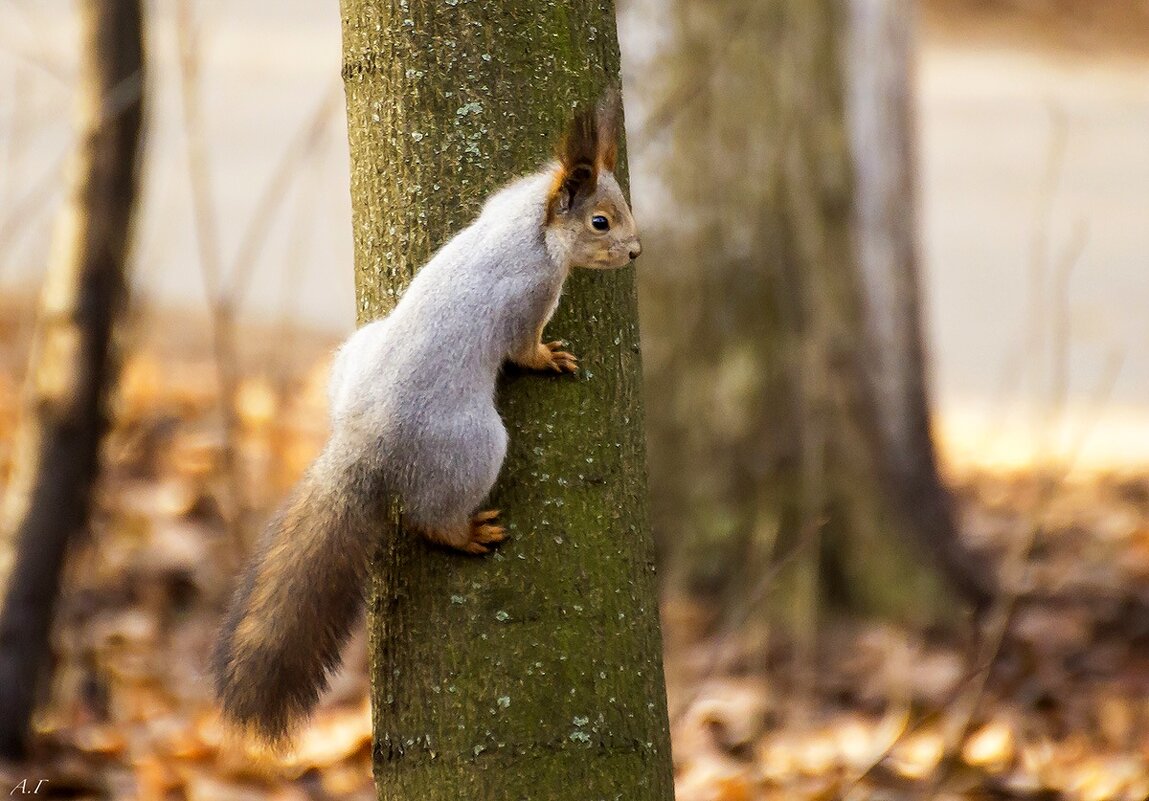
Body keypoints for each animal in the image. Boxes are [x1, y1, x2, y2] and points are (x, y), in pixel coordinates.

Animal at [211, 89, 643, 744]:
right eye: (601, 223)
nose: (637, 250)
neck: (531, 226)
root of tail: (363, 441)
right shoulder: (529, 296)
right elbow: (523, 348)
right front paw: (549, 359)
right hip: (472, 444)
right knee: (430, 519)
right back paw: (465, 533)